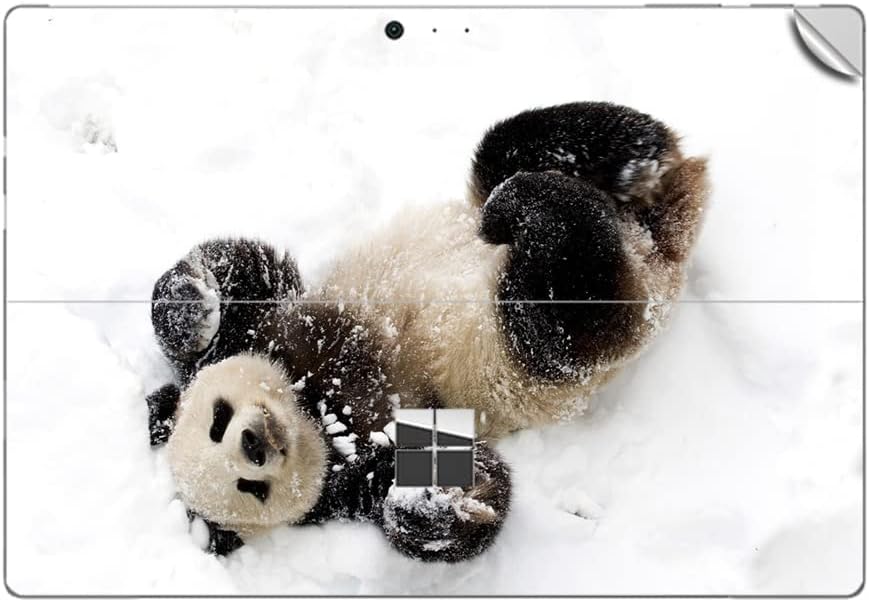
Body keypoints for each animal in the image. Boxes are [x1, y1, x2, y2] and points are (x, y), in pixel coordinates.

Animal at [146, 101, 708, 559]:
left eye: (218, 419)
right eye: (250, 488)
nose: (255, 444)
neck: (314, 404)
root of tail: (654, 245)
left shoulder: (273, 327)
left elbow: (246, 269)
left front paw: (191, 309)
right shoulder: (356, 467)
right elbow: (465, 485)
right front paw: (427, 504)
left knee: (512, 149)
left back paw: (626, 162)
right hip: (539, 346)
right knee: (568, 297)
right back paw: (551, 204)